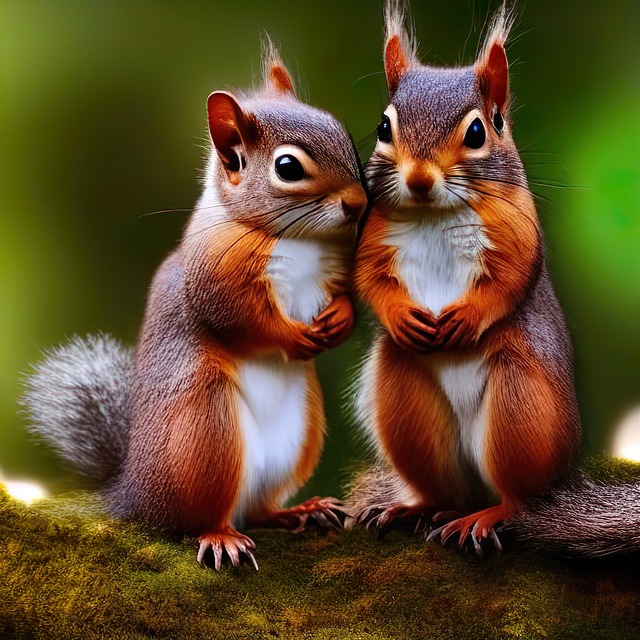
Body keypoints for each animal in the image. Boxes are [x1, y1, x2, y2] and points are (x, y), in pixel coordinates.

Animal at [23, 40, 368, 570]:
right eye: (288, 168)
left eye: (344, 133)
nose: (358, 203)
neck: (298, 237)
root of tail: (132, 495)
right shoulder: (214, 277)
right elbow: (239, 319)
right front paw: (293, 337)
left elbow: (345, 297)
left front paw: (339, 320)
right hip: (205, 430)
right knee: (196, 519)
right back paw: (220, 536)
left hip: (299, 434)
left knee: (258, 509)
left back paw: (298, 510)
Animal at [347, 0, 640, 558]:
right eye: (382, 127)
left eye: (481, 131)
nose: (418, 179)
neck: (433, 213)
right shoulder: (373, 233)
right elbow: (367, 278)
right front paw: (399, 314)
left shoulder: (518, 228)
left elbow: (511, 279)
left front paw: (469, 317)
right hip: (403, 398)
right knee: (441, 489)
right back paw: (414, 507)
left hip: (519, 404)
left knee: (518, 499)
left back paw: (489, 515)